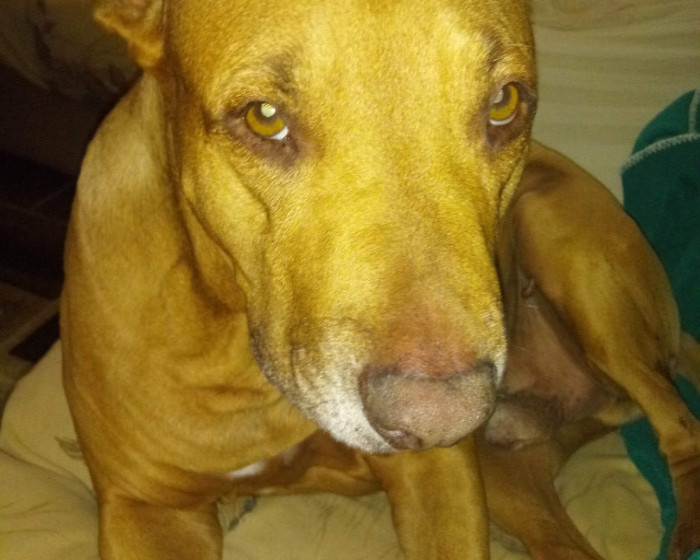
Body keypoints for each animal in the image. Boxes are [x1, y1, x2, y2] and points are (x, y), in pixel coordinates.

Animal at [60, 0, 700, 559]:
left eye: (504, 102)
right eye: (265, 117)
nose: (441, 419)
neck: (240, 356)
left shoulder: (439, 476)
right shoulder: (147, 512)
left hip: (571, 263)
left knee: (679, 424)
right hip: (510, 479)